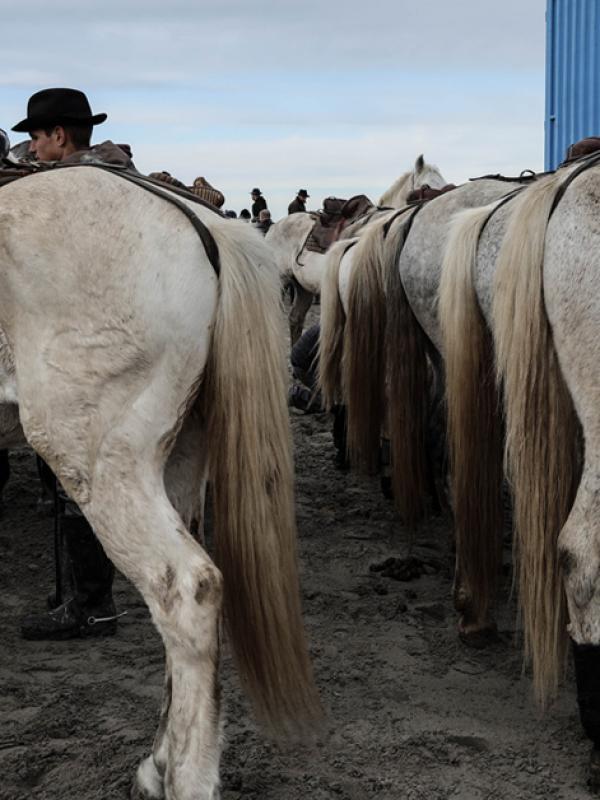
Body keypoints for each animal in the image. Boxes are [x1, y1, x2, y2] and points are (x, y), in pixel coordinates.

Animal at [0, 164, 322, 800]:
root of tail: (198, 222)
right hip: (176, 463)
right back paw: (159, 763)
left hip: (100, 464)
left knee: (186, 591)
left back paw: (187, 779)